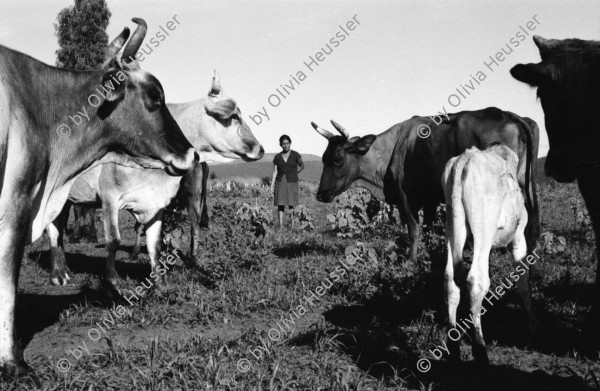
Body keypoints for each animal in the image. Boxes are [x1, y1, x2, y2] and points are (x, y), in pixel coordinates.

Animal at [0, 19, 196, 376]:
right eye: (155, 95)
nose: (190, 153)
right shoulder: (19, 204)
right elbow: (8, 281)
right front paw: (14, 363)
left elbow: (153, 246)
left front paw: (159, 285)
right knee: (55, 231)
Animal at [46, 72, 262, 290]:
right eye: (234, 116)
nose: (260, 148)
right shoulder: (109, 199)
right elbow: (113, 241)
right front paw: (112, 283)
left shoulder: (156, 205)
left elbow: (154, 244)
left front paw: (159, 283)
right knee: (53, 228)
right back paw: (58, 274)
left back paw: (64, 269)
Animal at [312, 107, 540, 266]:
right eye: (323, 158)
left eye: (337, 159)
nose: (321, 194)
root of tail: (506, 114)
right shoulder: (431, 199)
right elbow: (428, 228)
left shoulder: (406, 199)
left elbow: (414, 229)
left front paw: (411, 260)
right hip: (525, 183)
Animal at [440, 145, 536, 366]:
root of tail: (465, 159)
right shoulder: (519, 237)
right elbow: (523, 283)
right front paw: (532, 327)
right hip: (484, 228)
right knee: (477, 280)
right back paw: (480, 351)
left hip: (453, 226)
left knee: (450, 279)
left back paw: (454, 348)